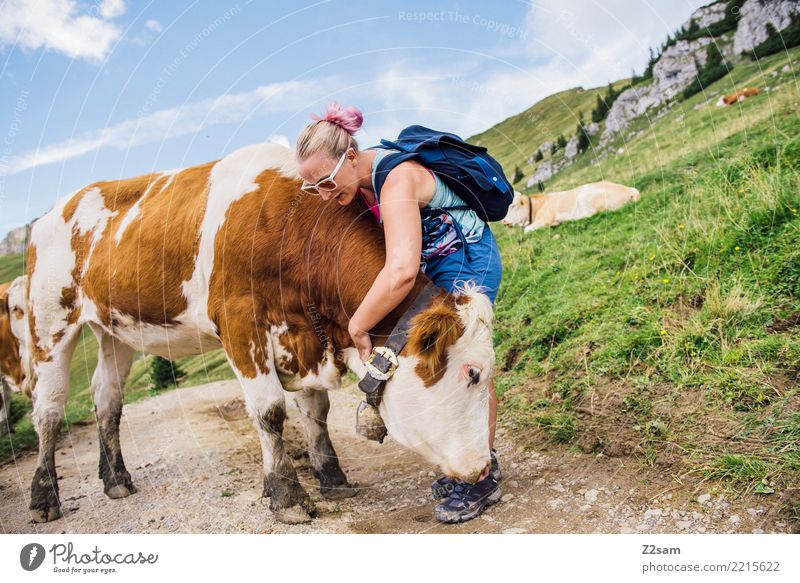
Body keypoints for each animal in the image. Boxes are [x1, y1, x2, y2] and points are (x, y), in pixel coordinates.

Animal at [21, 144, 496, 528]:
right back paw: (44, 498)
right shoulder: (238, 323)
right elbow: (269, 411)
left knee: (107, 398)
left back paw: (116, 479)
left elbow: (317, 411)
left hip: (112, 329)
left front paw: (332, 477)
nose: (479, 468)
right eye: (472, 374)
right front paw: (286, 495)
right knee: (49, 408)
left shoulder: (304, 336)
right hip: (50, 321)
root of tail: (58, 207)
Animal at [504, 180, 640, 233]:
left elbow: (527, 230)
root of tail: (630, 190)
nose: (504, 221)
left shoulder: (545, 219)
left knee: (591, 214)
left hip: (585, 197)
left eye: (513, 206)